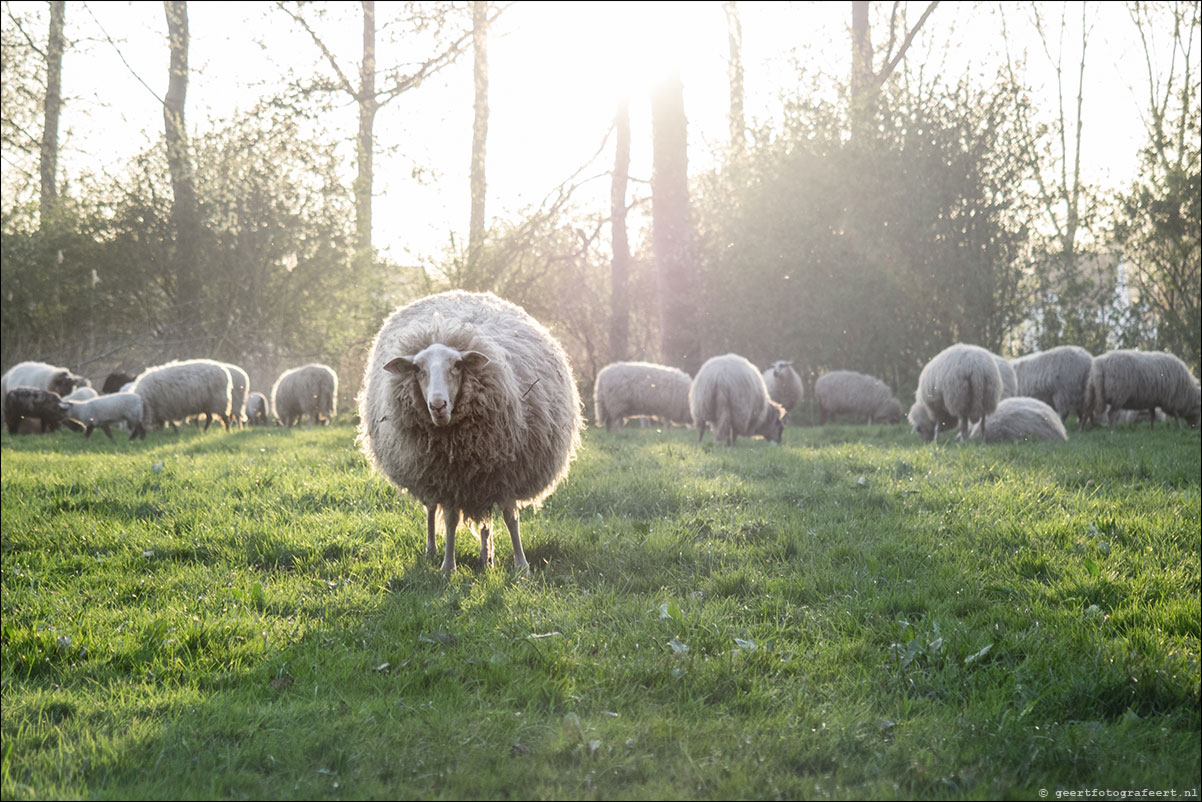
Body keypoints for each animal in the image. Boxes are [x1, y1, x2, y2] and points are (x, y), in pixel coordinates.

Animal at [353, 292, 584, 574]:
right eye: (418, 369)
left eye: (457, 365)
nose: (437, 405)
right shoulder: (448, 480)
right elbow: (451, 519)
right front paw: (448, 566)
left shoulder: (505, 471)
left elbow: (510, 517)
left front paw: (521, 566)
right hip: (426, 473)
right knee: (431, 508)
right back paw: (432, 549)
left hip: (483, 479)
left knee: (487, 520)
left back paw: (487, 559)